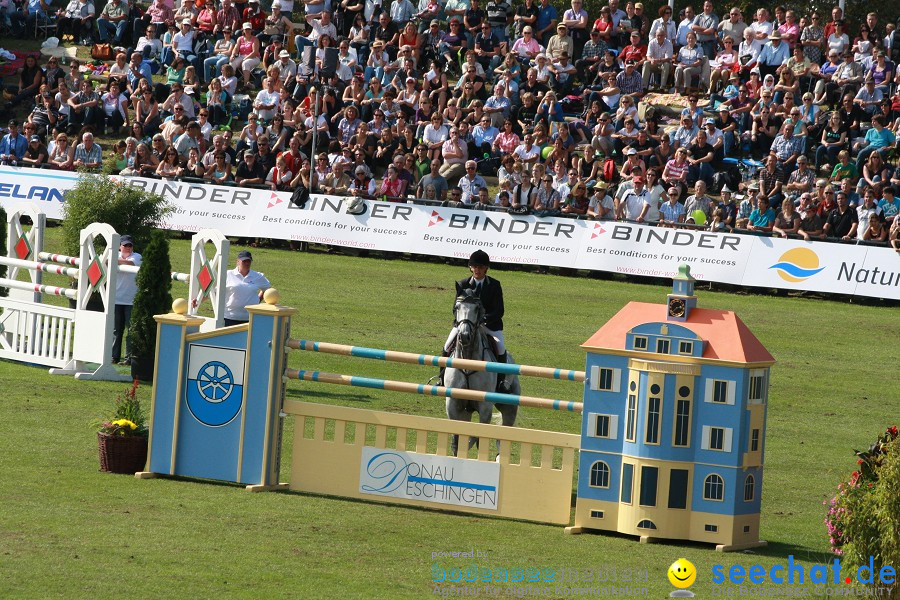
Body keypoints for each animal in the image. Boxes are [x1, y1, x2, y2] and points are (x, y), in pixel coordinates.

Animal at [444, 292, 520, 458]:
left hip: (510, 408)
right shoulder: (453, 404)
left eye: (477, 308)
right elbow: (456, 441)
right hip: (466, 411)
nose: (464, 336)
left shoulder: (485, 407)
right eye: (457, 307)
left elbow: (481, 439)